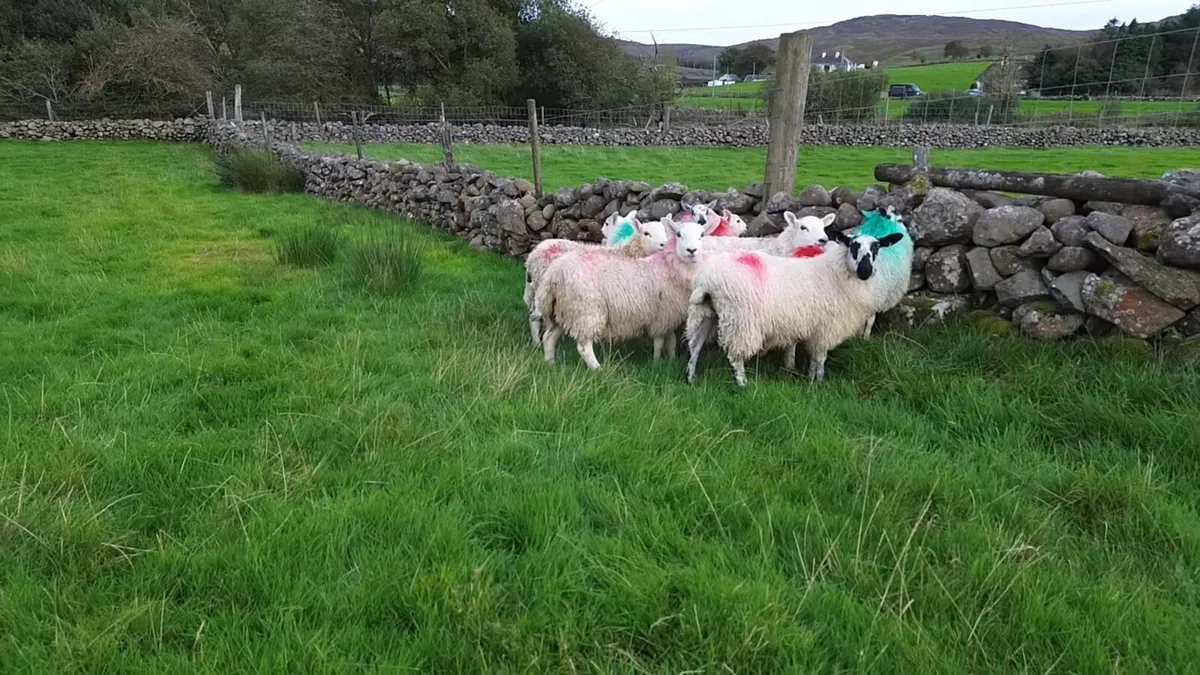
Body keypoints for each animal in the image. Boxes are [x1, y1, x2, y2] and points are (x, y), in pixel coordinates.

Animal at [525, 213, 667, 345]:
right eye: (646, 233)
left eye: (665, 231)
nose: (663, 245)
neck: (628, 252)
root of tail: (533, 255)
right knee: (536, 317)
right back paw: (537, 342)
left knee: (534, 315)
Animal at [536, 215, 707, 370]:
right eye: (679, 234)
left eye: (701, 235)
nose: (692, 250)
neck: (669, 267)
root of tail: (553, 275)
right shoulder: (661, 316)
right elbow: (659, 343)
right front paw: (657, 363)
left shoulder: (669, 316)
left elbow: (671, 342)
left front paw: (671, 360)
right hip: (585, 310)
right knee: (584, 346)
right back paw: (598, 369)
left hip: (562, 311)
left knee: (548, 337)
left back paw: (550, 364)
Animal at [685, 228, 906, 386]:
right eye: (852, 245)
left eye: (877, 247)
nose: (865, 270)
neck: (835, 274)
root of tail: (708, 280)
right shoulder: (826, 328)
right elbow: (820, 357)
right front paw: (818, 382)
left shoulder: (814, 327)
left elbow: (813, 357)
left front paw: (810, 377)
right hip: (742, 322)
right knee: (735, 356)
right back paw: (742, 384)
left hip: (704, 314)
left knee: (694, 346)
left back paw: (691, 378)